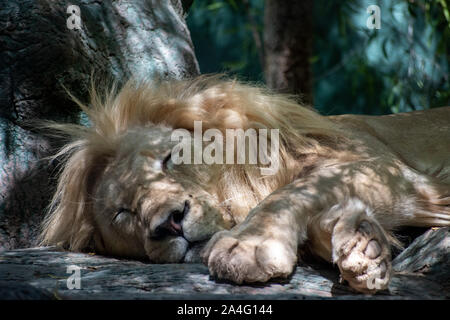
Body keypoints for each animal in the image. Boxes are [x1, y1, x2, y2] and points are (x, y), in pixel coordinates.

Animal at [40, 75, 448, 292]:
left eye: (168, 159)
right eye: (124, 213)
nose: (169, 223)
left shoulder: (383, 165)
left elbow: (295, 190)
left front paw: (248, 246)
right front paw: (364, 244)